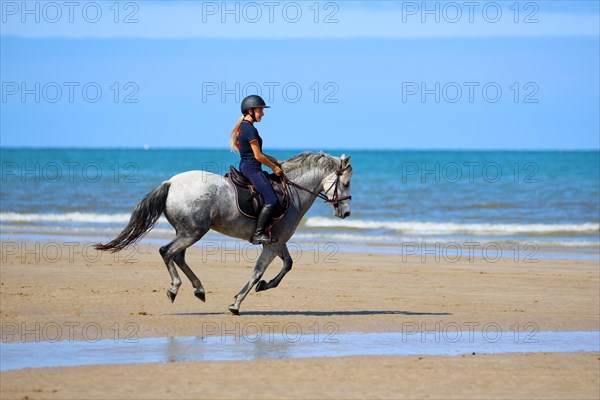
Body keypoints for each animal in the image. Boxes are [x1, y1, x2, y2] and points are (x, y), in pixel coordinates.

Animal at [95, 152, 352, 314]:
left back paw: (199, 289)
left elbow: (287, 265)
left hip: (187, 231)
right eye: (347, 183)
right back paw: (175, 288)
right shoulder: (271, 244)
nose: (347, 212)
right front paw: (236, 303)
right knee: (167, 252)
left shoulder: (277, 241)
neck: (293, 193)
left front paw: (265, 286)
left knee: (178, 256)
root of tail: (171, 183)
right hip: (193, 231)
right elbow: (258, 271)